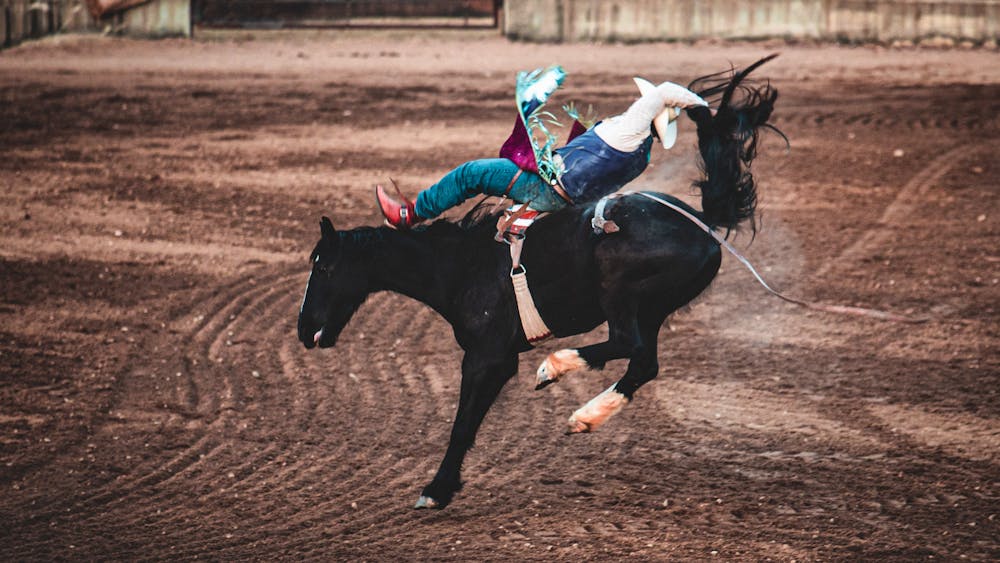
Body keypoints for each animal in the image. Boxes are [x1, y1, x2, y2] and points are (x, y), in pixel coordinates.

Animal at [296, 57, 780, 512]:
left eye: (323, 267)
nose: (302, 330)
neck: (460, 263)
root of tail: (702, 222)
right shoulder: (499, 357)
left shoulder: (487, 356)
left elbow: (463, 423)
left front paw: (436, 490)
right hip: (654, 308)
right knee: (644, 362)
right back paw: (585, 416)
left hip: (622, 292)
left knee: (627, 344)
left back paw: (555, 367)